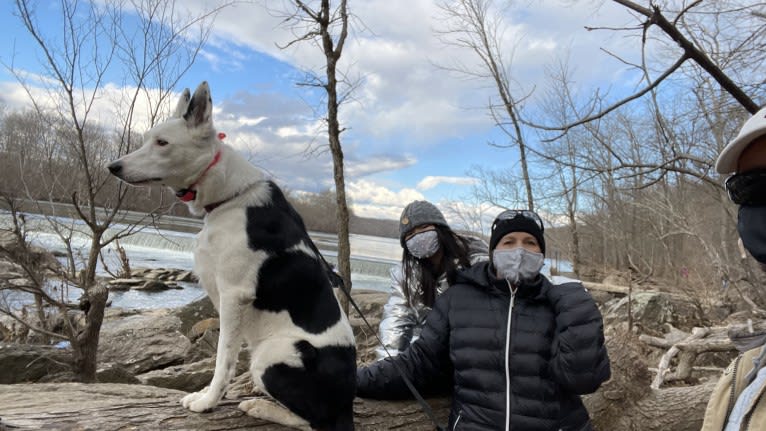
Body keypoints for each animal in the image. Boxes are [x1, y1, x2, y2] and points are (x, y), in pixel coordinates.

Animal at [107, 82, 356, 431]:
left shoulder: (233, 297)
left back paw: (259, 406)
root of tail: (346, 404)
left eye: (162, 143)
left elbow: (222, 359)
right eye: (147, 139)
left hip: (271, 355)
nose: (113, 167)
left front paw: (208, 401)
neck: (228, 197)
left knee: (315, 421)